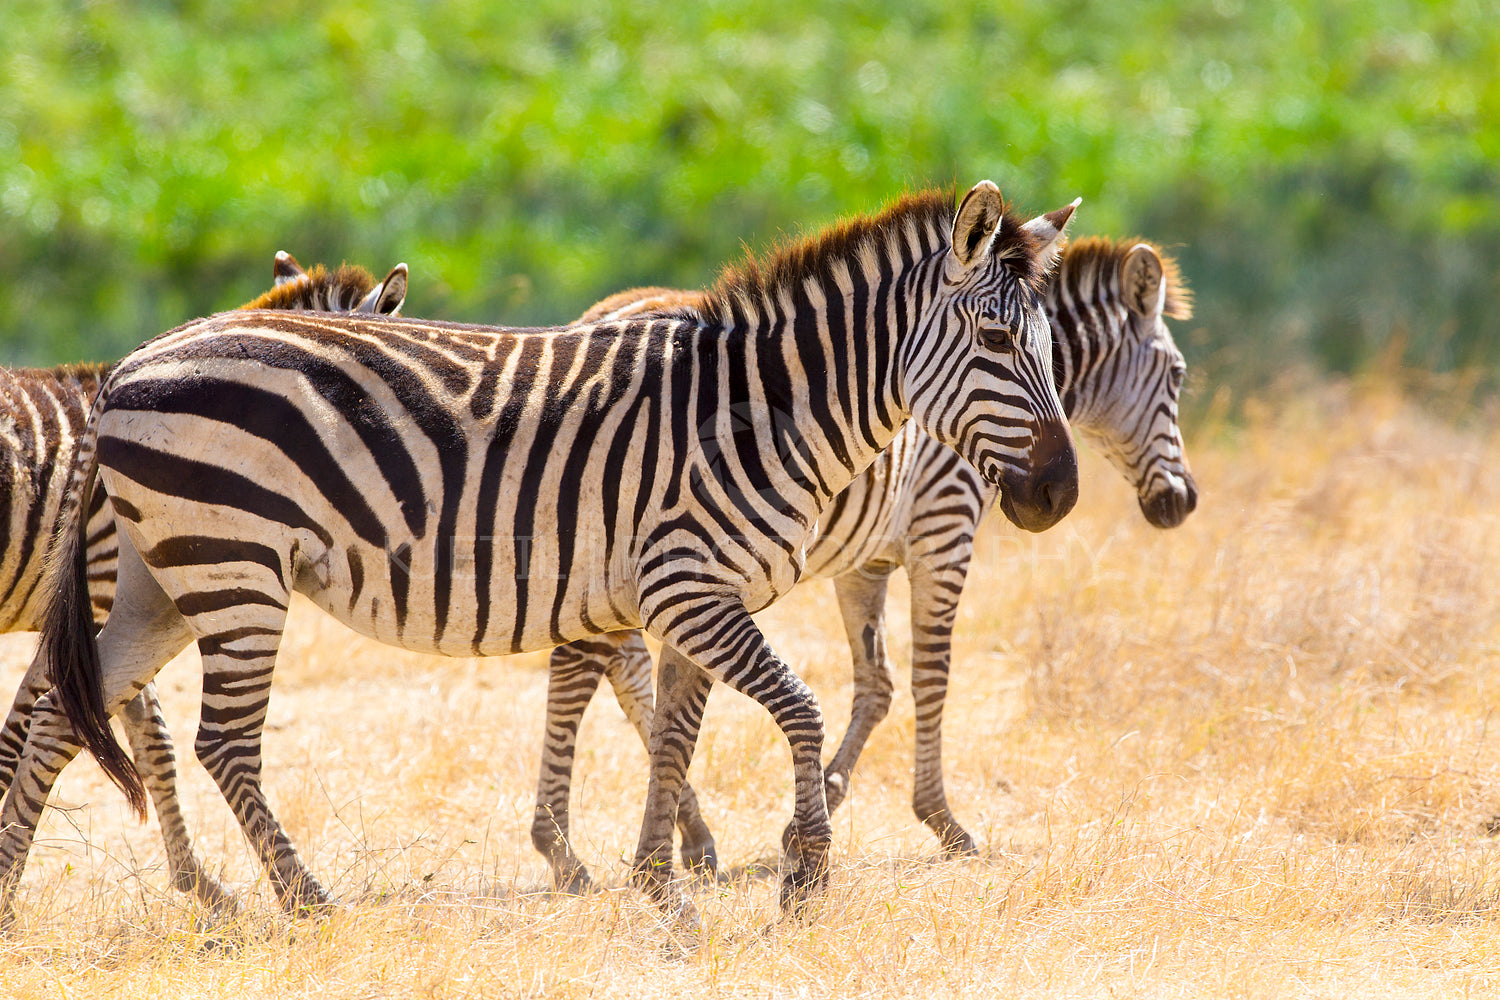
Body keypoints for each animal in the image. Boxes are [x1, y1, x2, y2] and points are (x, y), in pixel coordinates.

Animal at [528, 236, 1194, 893]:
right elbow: (931, 677)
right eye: (1178, 375)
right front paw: (941, 821)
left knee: (618, 669)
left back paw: (680, 833)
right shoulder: (943, 528)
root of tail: (595, 317)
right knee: (580, 670)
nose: (1182, 503)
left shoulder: (864, 562)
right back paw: (565, 851)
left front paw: (816, 807)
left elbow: (877, 684)